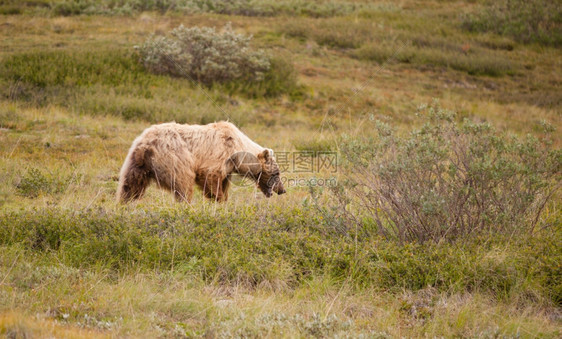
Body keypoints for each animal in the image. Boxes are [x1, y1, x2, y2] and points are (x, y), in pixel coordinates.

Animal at [117, 121, 284, 203]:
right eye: (276, 173)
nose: (282, 190)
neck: (237, 148)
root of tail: (146, 145)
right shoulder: (219, 152)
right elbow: (210, 175)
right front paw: (218, 198)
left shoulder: (229, 167)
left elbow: (224, 181)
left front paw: (223, 199)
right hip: (174, 157)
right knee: (184, 183)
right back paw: (186, 204)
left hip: (135, 163)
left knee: (130, 185)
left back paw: (124, 202)